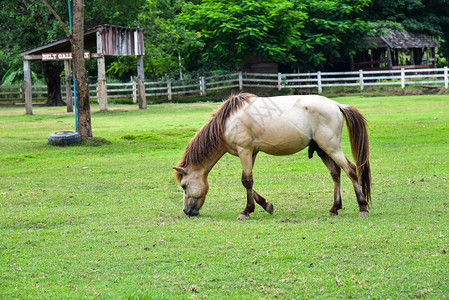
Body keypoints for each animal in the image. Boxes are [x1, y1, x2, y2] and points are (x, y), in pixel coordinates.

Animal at [173, 92, 370, 219]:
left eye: (184, 186)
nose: (187, 211)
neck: (227, 122)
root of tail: (337, 105)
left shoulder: (244, 150)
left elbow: (246, 181)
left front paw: (246, 211)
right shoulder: (251, 153)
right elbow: (250, 183)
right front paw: (266, 205)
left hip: (331, 147)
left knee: (351, 170)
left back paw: (362, 207)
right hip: (323, 150)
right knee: (336, 173)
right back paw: (334, 208)